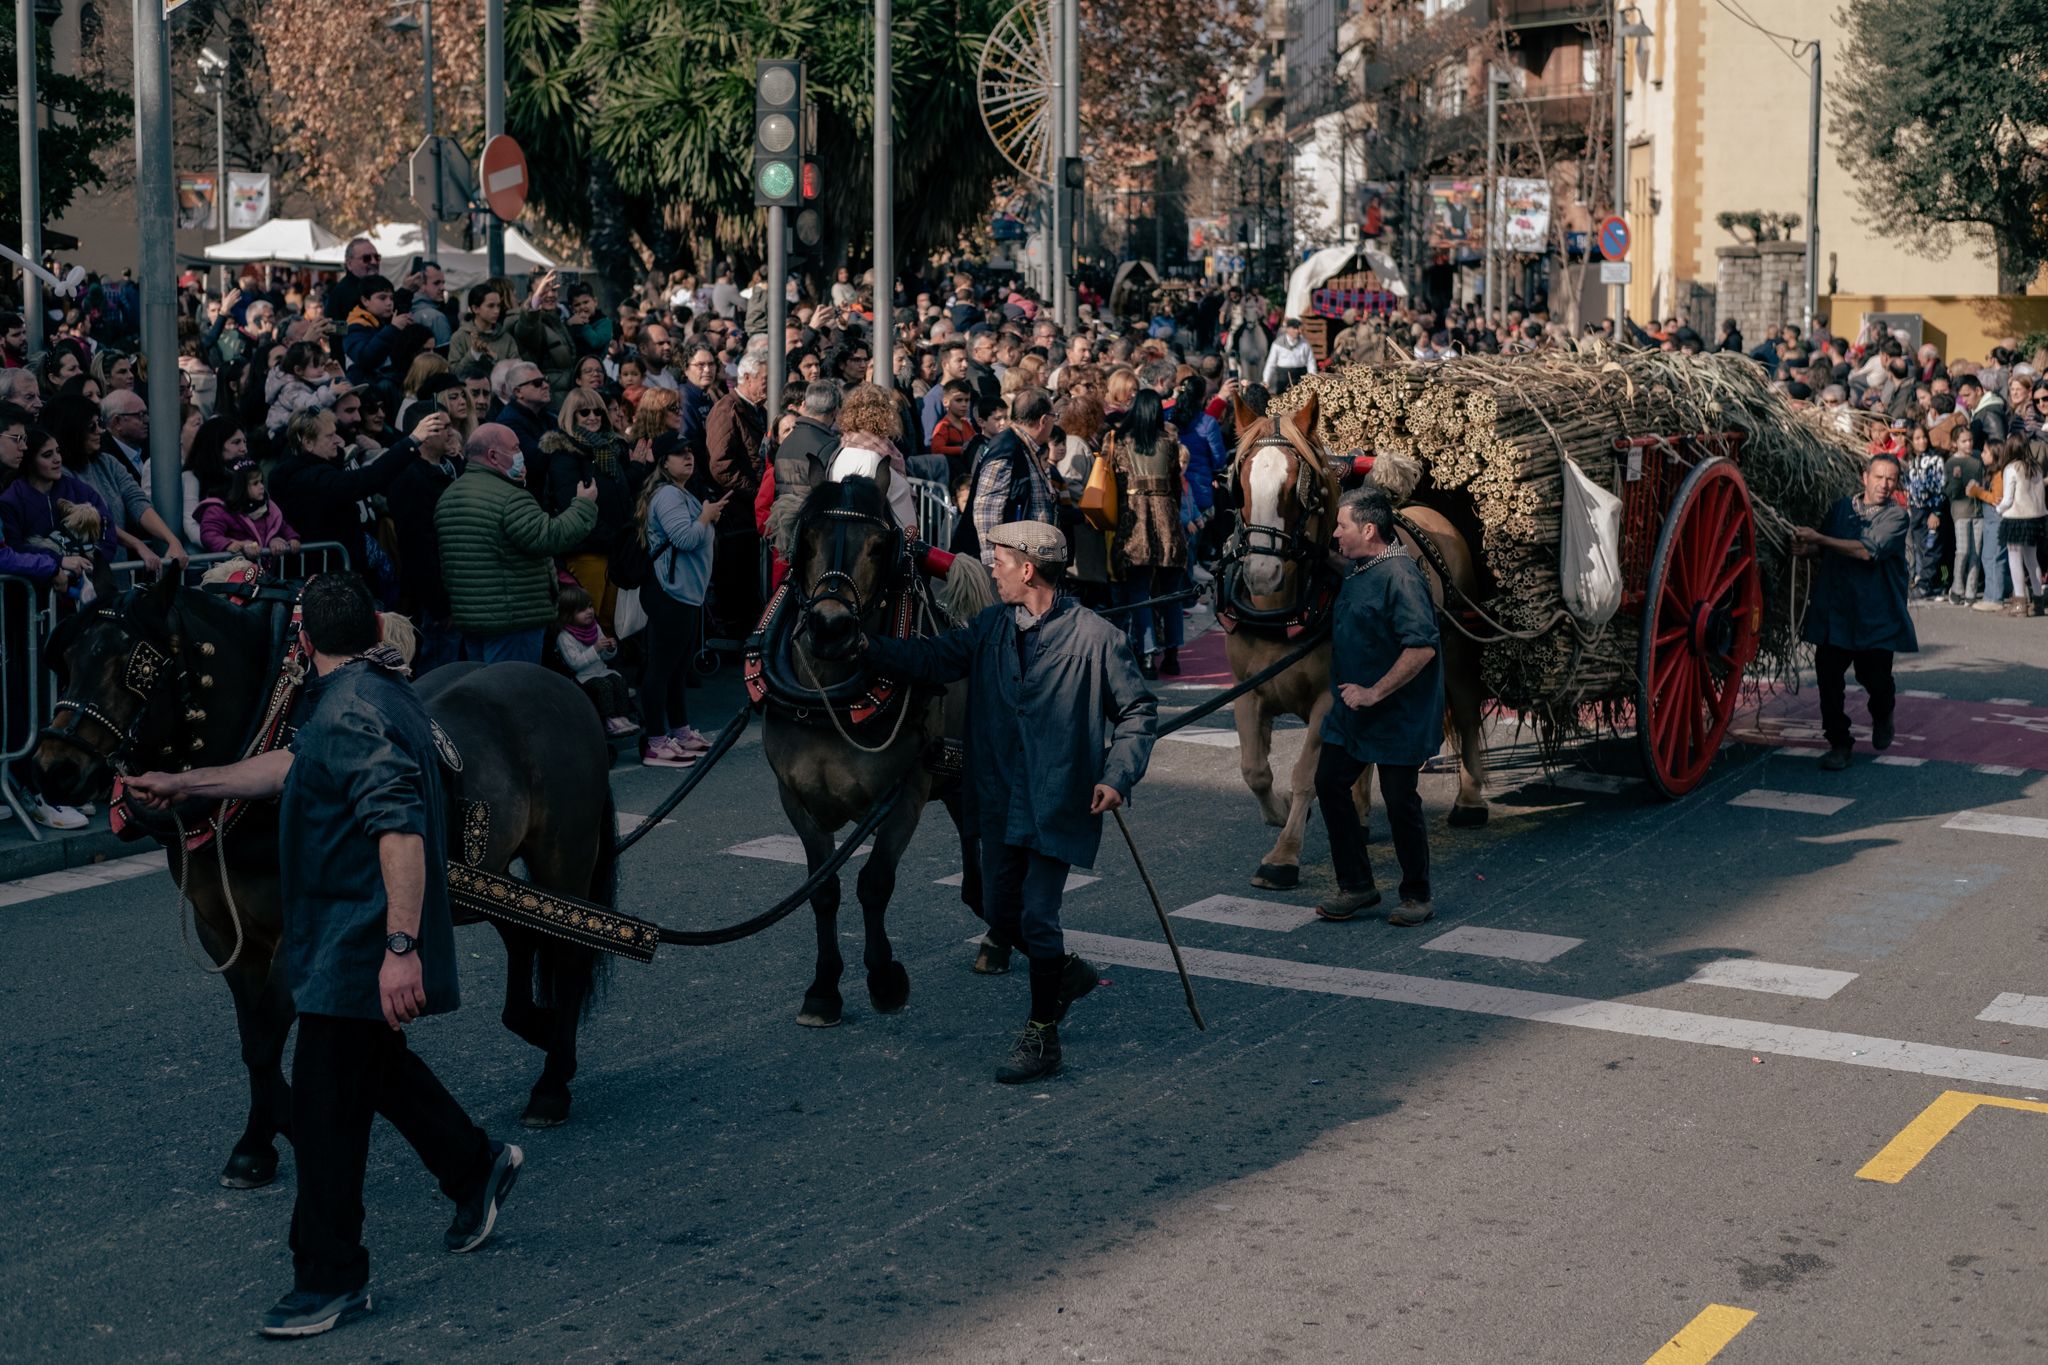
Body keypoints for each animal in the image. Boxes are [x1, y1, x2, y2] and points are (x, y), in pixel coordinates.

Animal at [29, 564, 614, 1186]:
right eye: (68, 659)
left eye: (134, 666)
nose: (53, 768)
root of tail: (562, 686)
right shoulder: (225, 932)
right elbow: (252, 1041)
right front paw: (258, 1142)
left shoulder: (304, 926)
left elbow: (267, 1033)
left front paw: (281, 1130)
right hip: (484, 878)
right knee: (524, 933)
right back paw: (536, 1026)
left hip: (563, 860)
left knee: (571, 952)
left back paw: (552, 1083)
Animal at [761, 474, 999, 1031]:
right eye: (806, 539)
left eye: (877, 545)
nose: (830, 627)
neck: (830, 703)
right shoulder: (795, 799)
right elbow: (822, 889)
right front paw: (823, 990)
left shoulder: (903, 794)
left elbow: (874, 882)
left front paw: (884, 978)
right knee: (970, 827)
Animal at [1212, 388, 1490, 892]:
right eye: (1239, 485)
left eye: (1297, 489)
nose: (1261, 572)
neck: (1287, 608)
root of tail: (1426, 512)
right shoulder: (1248, 691)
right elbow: (1255, 770)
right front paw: (1282, 812)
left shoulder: (1330, 696)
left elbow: (1305, 774)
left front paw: (1283, 855)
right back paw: (1360, 814)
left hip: (1456, 648)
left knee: (1464, 709)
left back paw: (1470, 801)